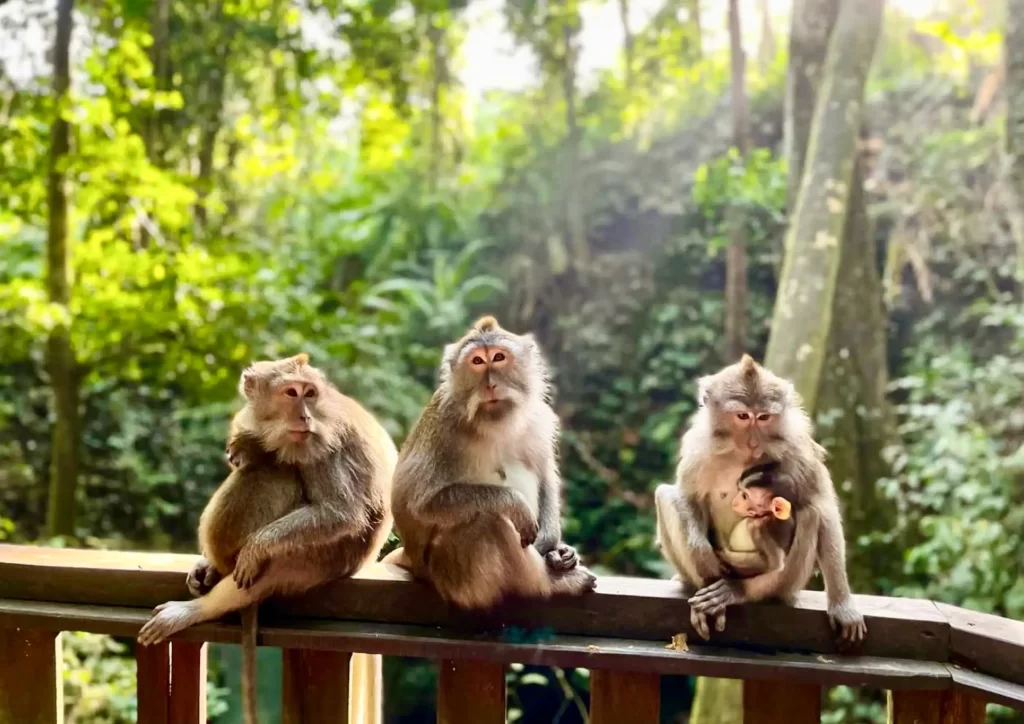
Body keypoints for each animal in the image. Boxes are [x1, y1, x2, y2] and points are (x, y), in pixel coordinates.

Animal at [137, 353, 397, 724]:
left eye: (309, 393)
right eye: (291, 393)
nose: (305, 416)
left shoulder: (323, 441)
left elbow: (341, 511)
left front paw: (256, 547)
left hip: (323, 558)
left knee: (276, 474)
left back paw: (197, 608)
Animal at [383, 316, 595, 609]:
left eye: (498, 357)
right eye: (477, 362)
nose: (491, 384)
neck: (494, 422)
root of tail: (414, 563)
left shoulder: (538, 419)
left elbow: (545, 478)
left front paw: (553, 545)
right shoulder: (443, 428)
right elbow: (421, 503)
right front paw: (515, 504)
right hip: (454, 575)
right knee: (490, 520)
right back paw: (550, 584)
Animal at [654, 354, 866, 648]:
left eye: (764, 417)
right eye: (743, 416)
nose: (753, 442)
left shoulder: (796, 446)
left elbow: (824, 509)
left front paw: (843, 606)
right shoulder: (698, 446)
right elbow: (687, 496)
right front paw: (702, 553)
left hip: (786, 583)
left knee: (810, 514)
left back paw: (738, 590)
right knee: (664, 495)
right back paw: (703, 584)